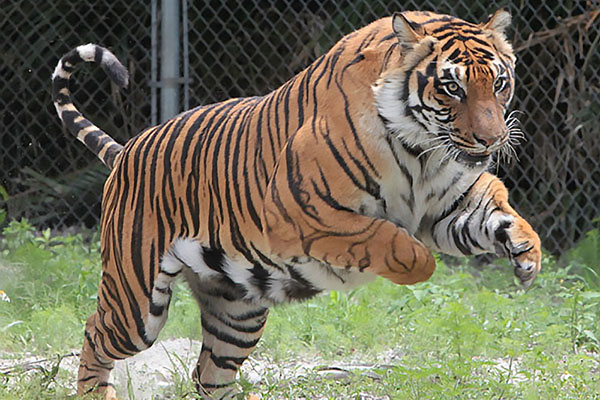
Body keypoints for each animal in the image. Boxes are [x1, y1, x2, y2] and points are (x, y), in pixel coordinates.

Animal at [50, 9, 540, 400]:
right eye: (451, 88)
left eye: (499, 84)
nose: (491, 139)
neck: (423, 151)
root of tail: (126, 150)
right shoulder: (298, 213)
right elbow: (391, 241)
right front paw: (408, 264)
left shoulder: (447, 207)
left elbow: (497, 212)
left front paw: (526, 254)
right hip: (135, 301)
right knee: (95, 333)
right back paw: (95, 394)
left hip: (237, 312)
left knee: (210, 374)